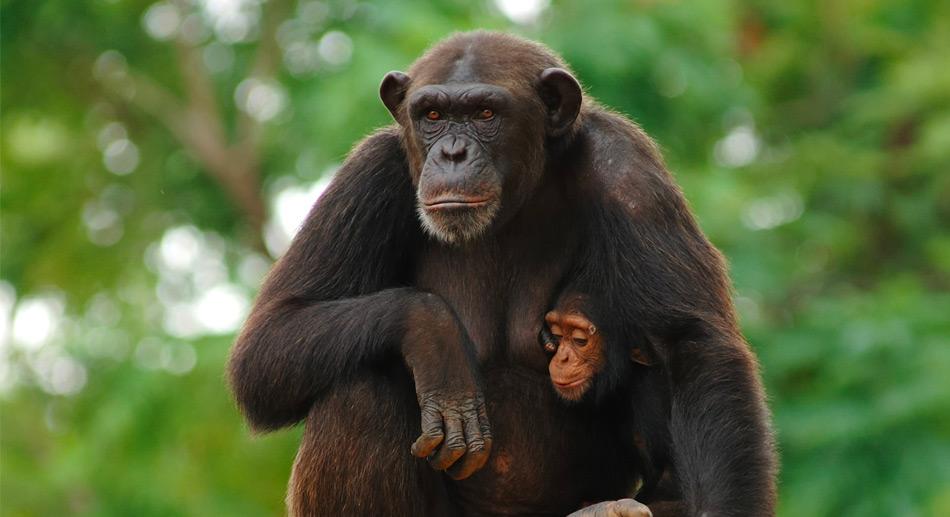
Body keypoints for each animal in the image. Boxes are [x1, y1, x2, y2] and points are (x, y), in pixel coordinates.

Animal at [231, 30, 780, 512]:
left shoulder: (630, 172)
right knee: (358, 393)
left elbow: (693, 342)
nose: (452, 151)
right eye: (432, 114)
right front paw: (436, 341)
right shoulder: (368, 174)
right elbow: (268, 341)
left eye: (485, 113)